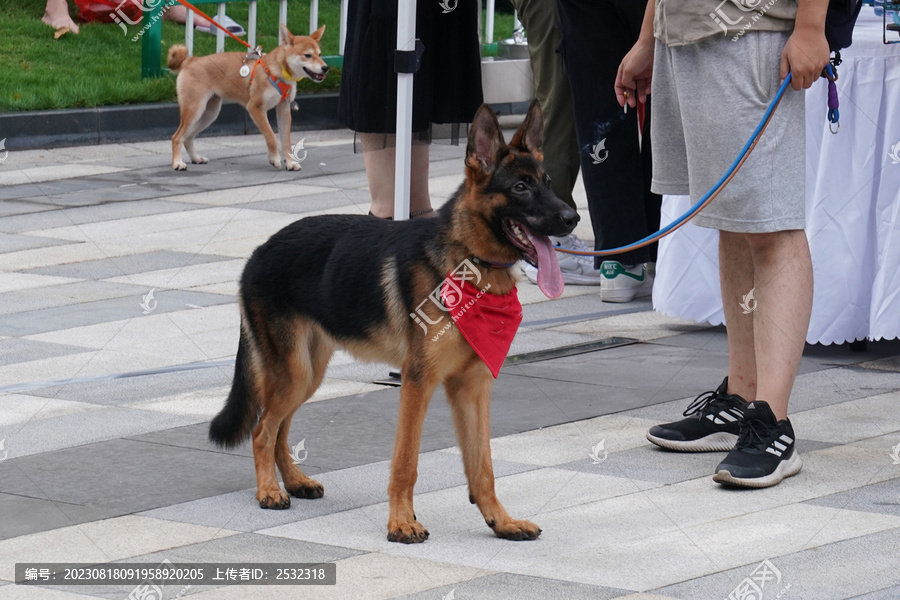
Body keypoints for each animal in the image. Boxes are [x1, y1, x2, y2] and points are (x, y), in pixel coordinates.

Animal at [168, 24, 326, 171]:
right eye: (307, 55)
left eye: (319, 54)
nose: (326, 68)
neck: (277, 71)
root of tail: (190, 60)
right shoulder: (255, 108)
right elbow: (271, 137)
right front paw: (275, 159)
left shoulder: (284, 109)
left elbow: (286, 140)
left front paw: (290, 163)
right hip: (194, 110)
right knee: (177, 137)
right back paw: (177, 163)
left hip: (208, 114)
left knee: (188, 137)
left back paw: (195, 158)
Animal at [208, 99, 580, 544]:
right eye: (521, 188)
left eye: (547, 182)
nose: (572, 217)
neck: (468, 261)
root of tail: (258, 252)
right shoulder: (418, 383)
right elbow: (406, 461)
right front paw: (402, 522)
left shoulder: (472, 388)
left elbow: (483, 466)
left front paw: (500, 520)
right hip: (294, 372)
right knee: (263, 430)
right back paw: (268, 490)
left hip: (307, 374)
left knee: (278, 427)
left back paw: (294, 482)